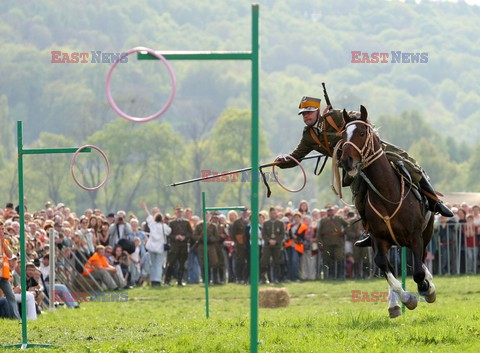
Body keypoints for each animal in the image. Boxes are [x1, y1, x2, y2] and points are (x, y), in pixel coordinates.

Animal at [340, 106, 436, 318]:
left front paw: (426, 287)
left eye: (361, 133)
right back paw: (395, 305)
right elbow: (383, 265)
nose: (346, 161)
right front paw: (406, 299)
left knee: (421, 260)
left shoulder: (415, 236)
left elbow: (418, 272)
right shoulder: (378, 239)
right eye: (343, 134)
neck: (387, 193)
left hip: (425, 233)